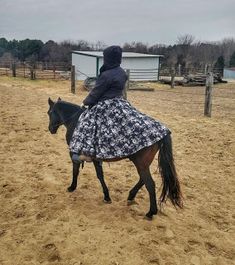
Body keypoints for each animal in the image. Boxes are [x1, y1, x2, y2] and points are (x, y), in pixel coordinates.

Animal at [47, 98, 183, 218]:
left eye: (49, 112)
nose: (50, 129)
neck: (75, 120)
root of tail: (163, 131)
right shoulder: (96, 159)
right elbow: (99, 175)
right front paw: (106, 196)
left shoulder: (74, 153)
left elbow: (78, 171)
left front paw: (72, 187)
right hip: (142, 164)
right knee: (143, 180)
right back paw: (131, 196)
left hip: (141, 164)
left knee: (150, 184)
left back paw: (150, 212)